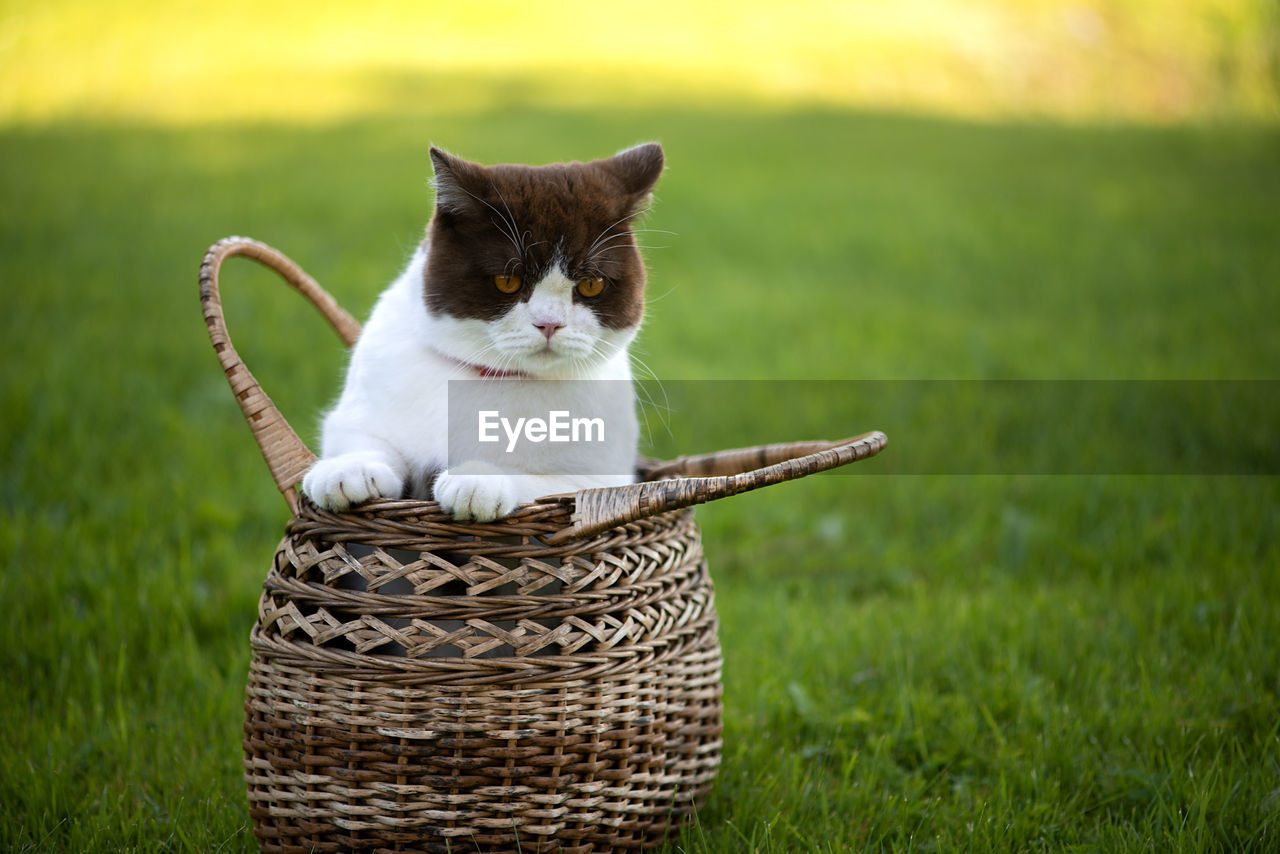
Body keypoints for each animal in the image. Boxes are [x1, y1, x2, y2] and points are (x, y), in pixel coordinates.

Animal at [296, 142, 660, 522]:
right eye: (507, 280)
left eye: (591, 284)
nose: (549, 323)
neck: (493, 376)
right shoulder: (357, 410)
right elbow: (361, 437)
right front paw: (346, 470)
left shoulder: (602, 477)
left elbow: (553, 486)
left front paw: (477, 481)